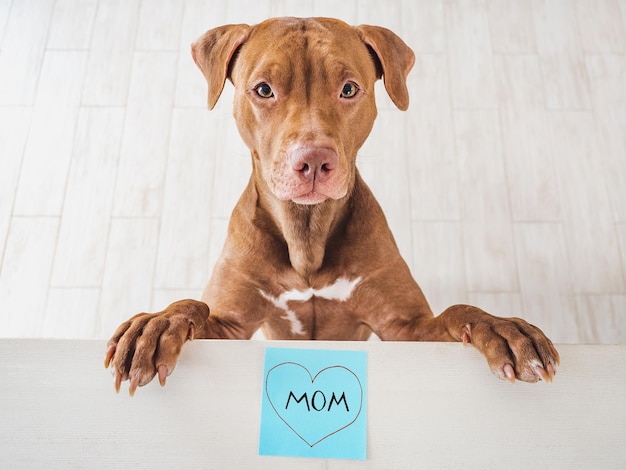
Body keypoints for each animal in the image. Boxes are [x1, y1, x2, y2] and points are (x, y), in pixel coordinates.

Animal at [105, 16, 560, 394]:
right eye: (264, 89)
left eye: (348, 89)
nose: (313, 161)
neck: (306, 233)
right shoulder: (229, 327)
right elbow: (194, 307)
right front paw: (157, 323)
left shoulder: (406, 330)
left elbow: (456, 310)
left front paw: (501, 327)